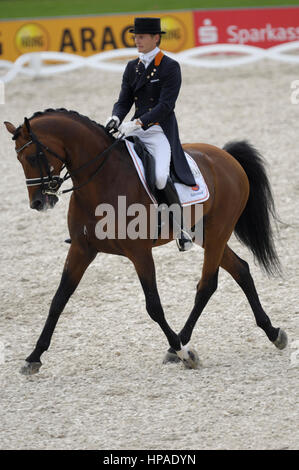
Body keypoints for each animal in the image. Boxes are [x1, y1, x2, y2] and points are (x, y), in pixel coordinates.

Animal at [4, 108, 288, 376]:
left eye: (33, 157)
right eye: (18, 160)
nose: (38, 203)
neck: (103, 180)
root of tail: (226, 156)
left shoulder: (139, 252)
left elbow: (154, 306)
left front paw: (185, 354)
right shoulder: (81, 249)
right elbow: (58, 300)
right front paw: (33, 358)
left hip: (218, 231)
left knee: (207, 285)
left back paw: (181, 346)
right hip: (204, 234)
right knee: (241, 270)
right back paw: (273, 332)